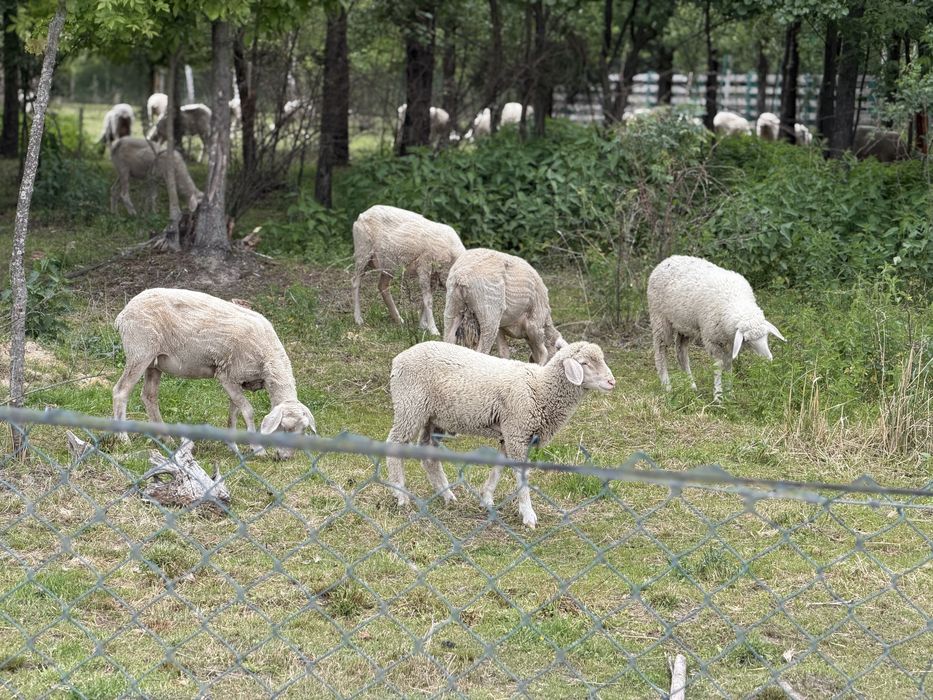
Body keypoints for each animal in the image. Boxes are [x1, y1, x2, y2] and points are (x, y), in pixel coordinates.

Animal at [112, 288, 316, 459]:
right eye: (284, 427)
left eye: (303, 431)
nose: (286, 458)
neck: (268, 357)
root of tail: (123, 313)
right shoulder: (227, 375)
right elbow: (248, 411)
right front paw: (258, 449)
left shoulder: (238, 381)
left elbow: (235, 411)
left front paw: (233, 445)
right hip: (140, 351)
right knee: (121, 391)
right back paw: (123, 439)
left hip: (154, 363)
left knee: (149, 396)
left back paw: (166, 438)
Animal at [351, 205, 465, 335]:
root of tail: (362, 214)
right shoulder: (424, 266)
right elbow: (428, 300)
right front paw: (433, 330)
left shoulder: (434, 275)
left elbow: (425, 300)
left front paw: (422, 326)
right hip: (363, 252)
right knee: (355, 282)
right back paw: (358, 319)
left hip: (389, 264)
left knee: (382, 286)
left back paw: (398, 319)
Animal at [385, 340, 616, 528]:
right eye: (584, 363)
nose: (612, 382)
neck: (541, 388)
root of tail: (398, 359)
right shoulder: (517, 432)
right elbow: (521, 476)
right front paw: (528, 515)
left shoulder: (510, 434)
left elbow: (499, 467)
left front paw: (486, 497)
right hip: (410, 406)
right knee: (394, 445)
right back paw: (401, 495)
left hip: (435, 418)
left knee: (428, 454)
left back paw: (447, 495)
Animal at [647, 255, 785, 400]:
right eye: (747, 340)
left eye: (766, 336)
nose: (768, 358)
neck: (734, 300)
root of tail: (668, 259)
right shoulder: (711, 339)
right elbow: (718, 365)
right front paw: (718, 396)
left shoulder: (730, 341)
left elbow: (728, 364)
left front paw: (730, 393)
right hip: (660, 319)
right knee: (660, 351)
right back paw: (667, 386)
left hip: (684, 325)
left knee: (681, 352)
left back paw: (691, 386)